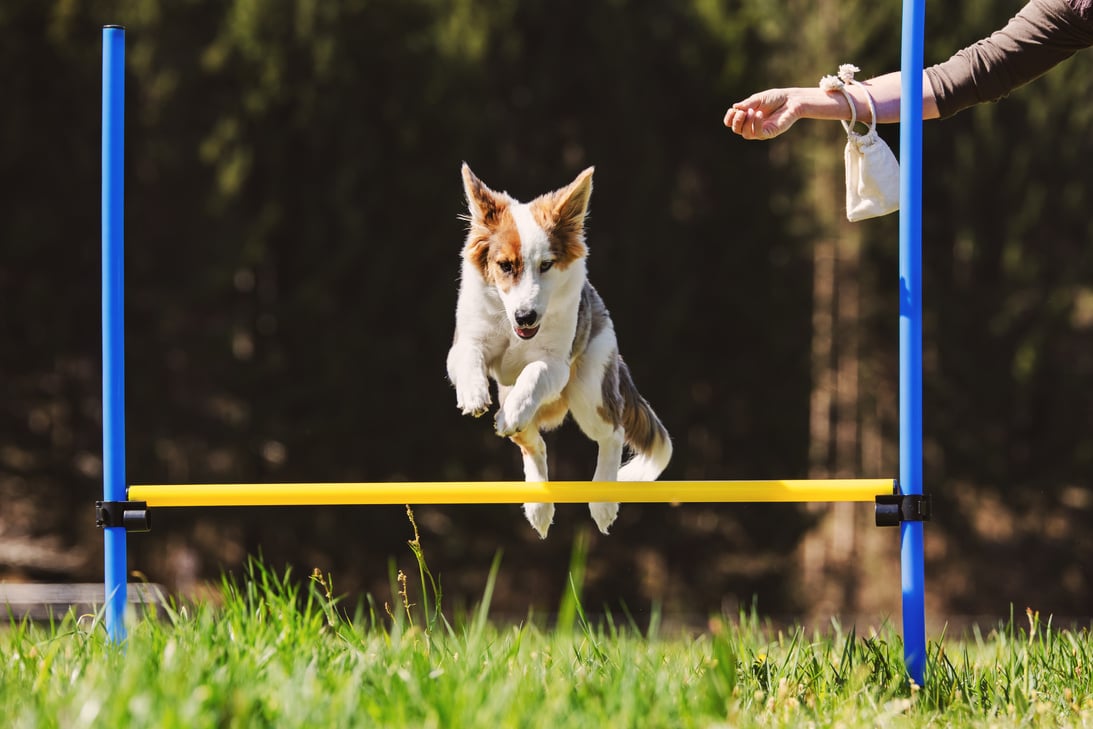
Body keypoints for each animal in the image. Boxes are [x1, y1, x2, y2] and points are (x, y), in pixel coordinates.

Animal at [445, 165, 668, 539]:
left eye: (546, 265)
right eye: (505, 266)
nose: (526, 316)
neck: (514, 330)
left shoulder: (556, 364)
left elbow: (534, 371)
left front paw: (516, 402)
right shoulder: (467, 339)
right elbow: (468, 356)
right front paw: (473, 394)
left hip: (589, 389)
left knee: (613, 432)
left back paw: (603, 501)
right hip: (520, 402)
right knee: (533, 443)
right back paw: (539, 505)